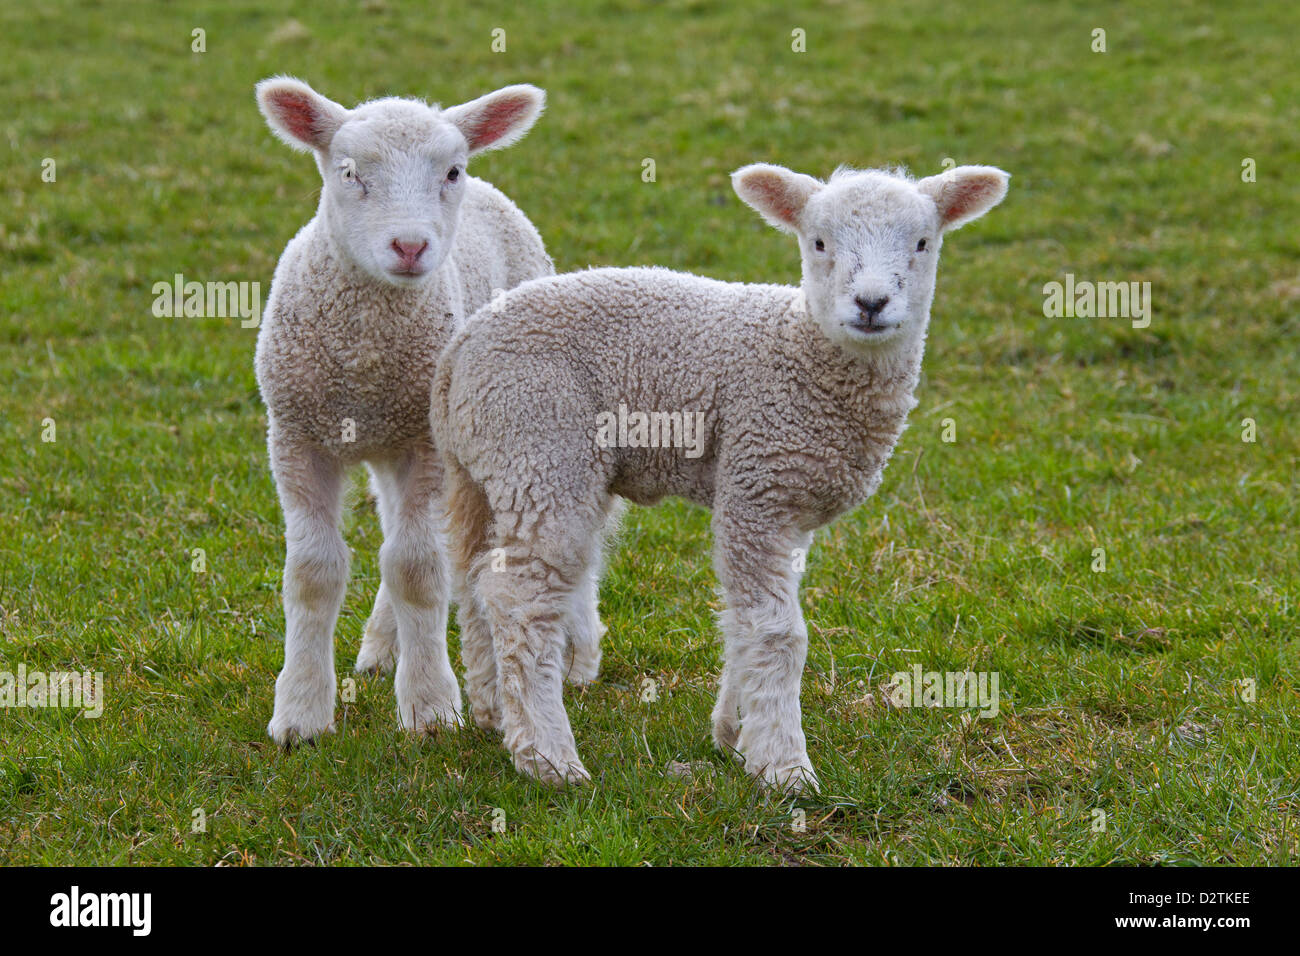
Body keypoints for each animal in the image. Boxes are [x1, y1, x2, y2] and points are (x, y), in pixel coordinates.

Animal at [254, 76, 555, 746]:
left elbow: (416, 568)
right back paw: (379, 648)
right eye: (348, 172)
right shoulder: (296, 437)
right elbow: (312, 572)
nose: (411, 245)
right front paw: (302, 713)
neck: (366, 357)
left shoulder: (424, 444)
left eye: (450, 171)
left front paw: (430, 706)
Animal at [432, 162, 1009, 790]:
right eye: (819, 242)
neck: (803, 351)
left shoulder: (786, 504)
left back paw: (493, 712)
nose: (872, 303)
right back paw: (548, 757)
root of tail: (460, 351)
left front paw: (736, 732)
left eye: (924, 243)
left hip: (484, 468)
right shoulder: (758, 483)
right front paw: (784, 765)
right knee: (519, 598)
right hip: (540, 444)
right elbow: (778, 630)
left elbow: (743, 621)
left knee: (474, 578)